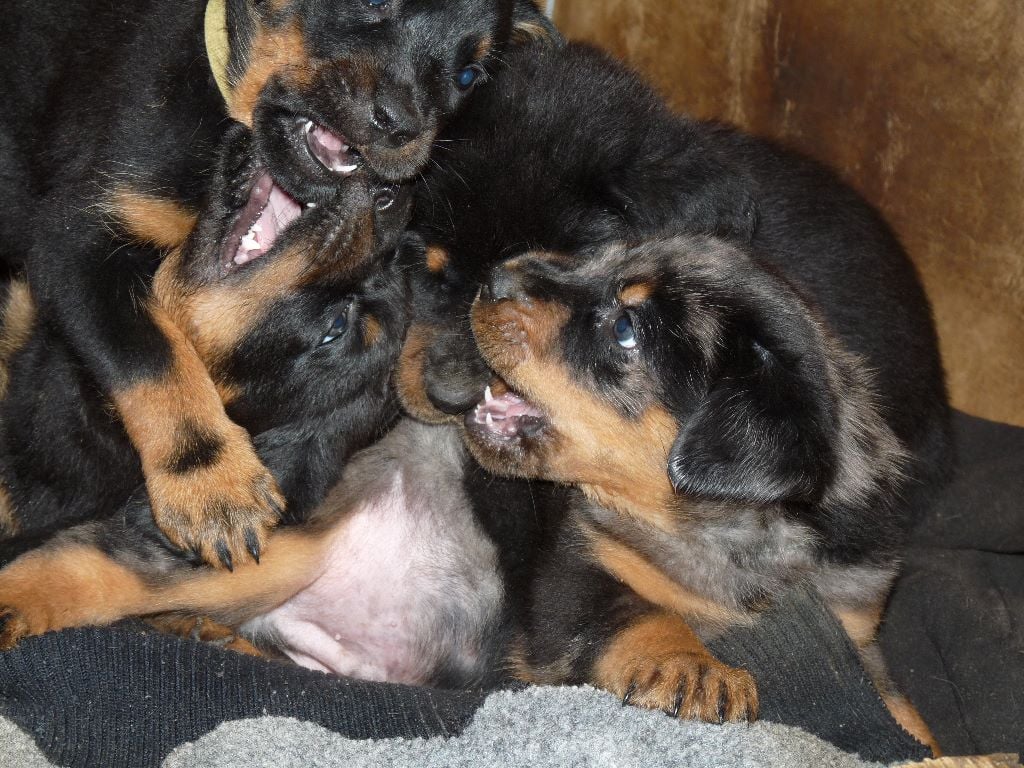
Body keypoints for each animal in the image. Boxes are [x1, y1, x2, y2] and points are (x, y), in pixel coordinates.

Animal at [0, 0, 557, 569]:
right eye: (374, 4)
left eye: (469, 76)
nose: (401, 133)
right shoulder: (72, 245)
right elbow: (150, 358)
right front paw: (210, 483)